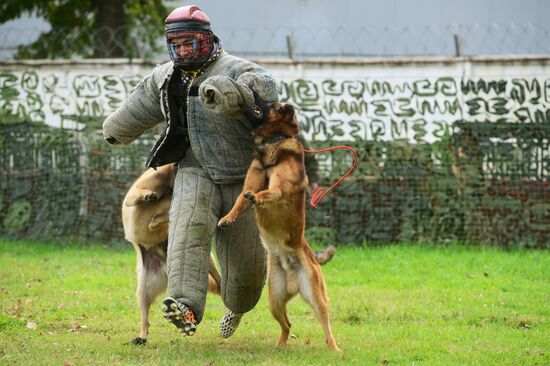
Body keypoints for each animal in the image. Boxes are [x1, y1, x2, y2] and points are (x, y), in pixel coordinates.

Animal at [122, 164, 222, 344]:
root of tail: (165, 265)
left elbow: (162, 214)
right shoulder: (135, 193)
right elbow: (136, 197)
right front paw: (148, 197)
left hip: (208, 259)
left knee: (216, 277)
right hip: (143, 290)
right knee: (145, 320)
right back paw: (142, 336)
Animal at [219, 97, 340, 352]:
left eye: (270, 105)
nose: (249, 98)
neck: (275, 141)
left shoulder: (279, 189)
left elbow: (267, 193)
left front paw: (257, 199)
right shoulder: (250, 182)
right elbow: (239, 201)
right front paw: (227, 218)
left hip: (316, 297)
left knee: (326, 327)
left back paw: (335, 350)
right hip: (274, 299)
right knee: (287, 324)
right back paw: (280, 346)